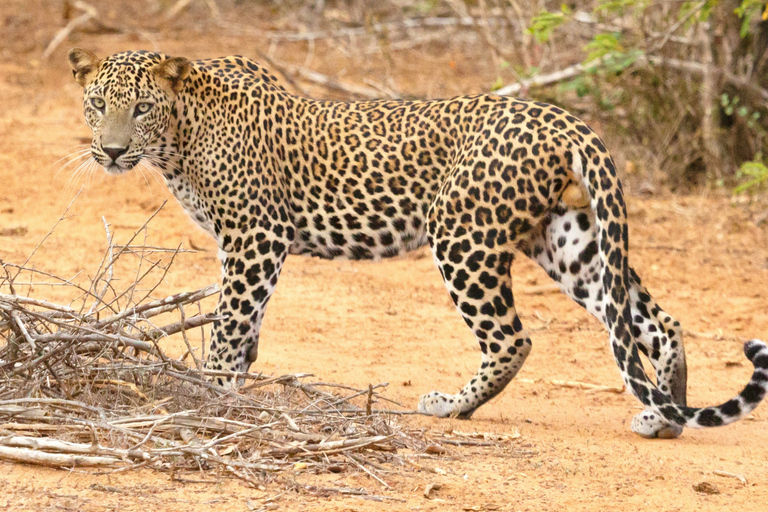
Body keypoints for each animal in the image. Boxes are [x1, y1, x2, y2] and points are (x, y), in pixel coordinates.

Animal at [68, 48, 768, 438]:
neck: (179, 137)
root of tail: (561, 117)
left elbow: (230, 320)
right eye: (97, 103)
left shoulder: (256, 236)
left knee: (512, 338)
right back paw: (664, 416)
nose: (111, 150)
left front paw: (208, 391)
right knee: (653, 321)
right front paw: (233, 386)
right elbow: (247, 325)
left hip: (461, 234)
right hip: (566, 240)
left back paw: (450, 407)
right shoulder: (245, 243)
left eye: (140, 109)